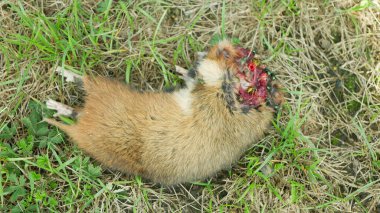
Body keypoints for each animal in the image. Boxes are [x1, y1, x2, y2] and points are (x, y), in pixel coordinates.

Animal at [45, 40, 282, 185]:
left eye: (225, 53)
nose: (220, 44)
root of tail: (83, 123)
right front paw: (183, 66)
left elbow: (198, 74)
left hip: (104, 89)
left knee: (83, 83)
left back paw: (54, 95)